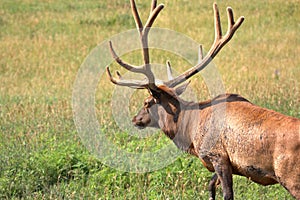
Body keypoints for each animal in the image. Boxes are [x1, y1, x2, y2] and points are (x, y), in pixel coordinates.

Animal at [105, 0, 300, 199]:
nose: (135, 119)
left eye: (146, 102)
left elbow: (227, 194)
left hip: (291, 176)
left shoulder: (217, 155)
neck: (189, 131)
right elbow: (210, 186)